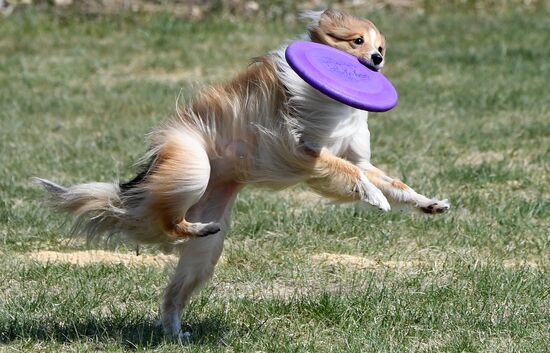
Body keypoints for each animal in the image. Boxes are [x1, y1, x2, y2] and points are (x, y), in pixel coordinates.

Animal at [38, 9, 452, 336]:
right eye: (357, 41)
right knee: (169, 224)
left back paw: (175, 328)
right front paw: (376, 198)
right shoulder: (304, 153)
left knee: (174, 289)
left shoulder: (353, 157)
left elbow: (387, 179)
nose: (378, 58)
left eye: (382, 45)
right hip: (193, 166)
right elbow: (350, 172)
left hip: (204, 251)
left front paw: (428, 204)